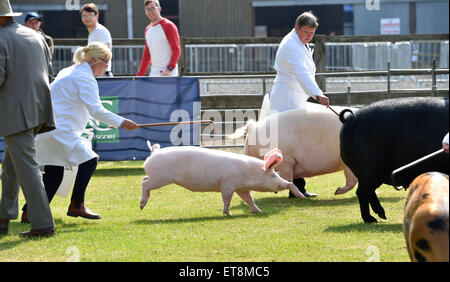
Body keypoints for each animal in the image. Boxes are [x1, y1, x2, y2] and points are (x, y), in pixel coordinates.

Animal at [140, 142, 306, 215]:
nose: (287, 183)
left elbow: (249, 199)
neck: (247, 172)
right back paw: (141, 205)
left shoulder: (241, 188)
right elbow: (227, 199)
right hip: (161, 177)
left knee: (144, 179)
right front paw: (228, 213)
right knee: (144, 182)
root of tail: (153, 153)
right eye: (272, 175)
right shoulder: (228, 185)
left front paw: (258, 211)